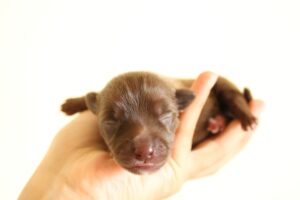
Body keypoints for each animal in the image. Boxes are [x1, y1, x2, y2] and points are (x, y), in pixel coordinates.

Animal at [60, 71, 255, 173]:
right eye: (110, 122)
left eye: (166, 115)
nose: (144, 152)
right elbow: (92, 97)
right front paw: (74, 102)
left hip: (223, 84)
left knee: (235, 97)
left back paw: (244, 118)